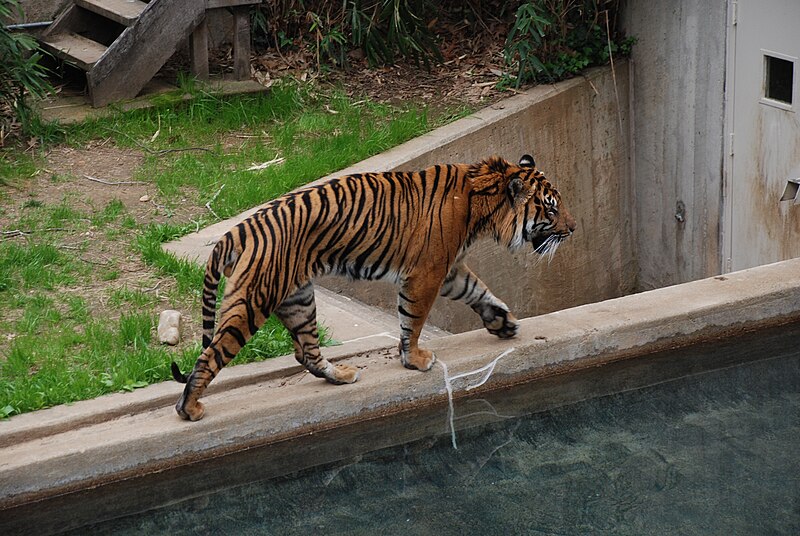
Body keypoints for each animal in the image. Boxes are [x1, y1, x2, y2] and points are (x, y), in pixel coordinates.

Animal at [173, 153, 576, 420]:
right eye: (551, 210)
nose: (573, 228)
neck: (482, 201)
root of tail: (237, 230)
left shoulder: (449, 270)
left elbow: (476, 290)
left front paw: (502, 323)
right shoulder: (427, 272)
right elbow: (413, 319)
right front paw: (415, 360)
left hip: (298, 297)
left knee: (307, 353)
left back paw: (342, 376)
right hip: (254, 299)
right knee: (210, 356)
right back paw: (189, 408)